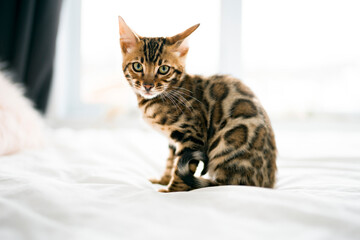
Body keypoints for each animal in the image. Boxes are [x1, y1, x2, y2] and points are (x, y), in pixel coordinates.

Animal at [117, 16, 276, 192]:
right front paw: (163, 180)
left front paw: (172, 191)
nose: (147, 86)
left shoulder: (192, 135)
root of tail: (266, 184)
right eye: (137, 66)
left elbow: (180, 170)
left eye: (164, 69)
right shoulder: (174, 141)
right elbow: (171, 161)